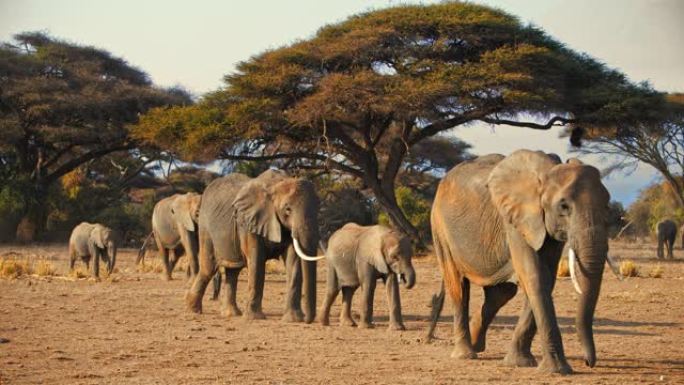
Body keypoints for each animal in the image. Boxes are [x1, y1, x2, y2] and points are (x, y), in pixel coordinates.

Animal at [186, 170, 322, 322]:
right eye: (288, 209)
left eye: (318, 208)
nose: (308, 319)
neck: (278, 184)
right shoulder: (249, 222)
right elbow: (256, 262)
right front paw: (254, 317)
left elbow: (294, 263)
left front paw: (294, 320)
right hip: (205, 227)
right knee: (208, 268)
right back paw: (193, 309)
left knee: (233, 271)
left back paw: (231, 314)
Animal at [430, 150, 616, 372]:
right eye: (563, 206)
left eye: (607, 205)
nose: (589, 362)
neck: (545, 174)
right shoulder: (516, 221)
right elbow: (535, 276)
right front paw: (557, 370)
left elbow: (545, 278)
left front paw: (520, 363)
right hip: (440, 227)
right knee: (458, 285)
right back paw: (465, 354)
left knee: (502, 293)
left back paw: (476, 343)